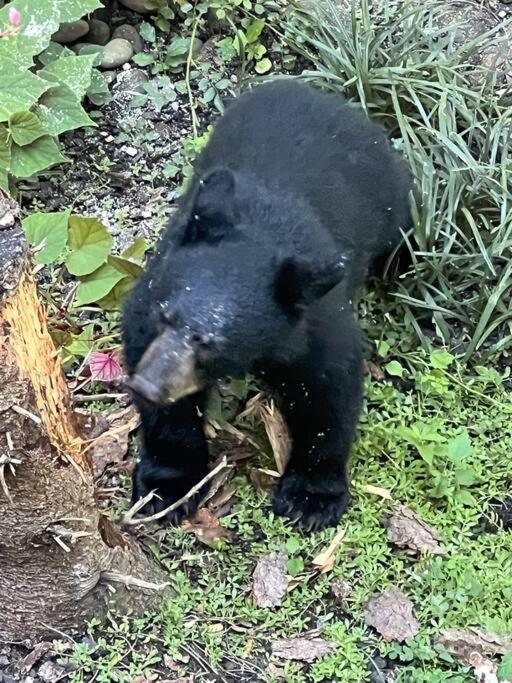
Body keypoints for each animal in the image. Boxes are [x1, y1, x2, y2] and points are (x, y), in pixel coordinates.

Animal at [123, 79, 412, 528]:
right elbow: (165, 412)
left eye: (212, 343)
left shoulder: (313, 323)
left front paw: (311, 499)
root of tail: (327, 97)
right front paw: (166, 487)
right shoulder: (151, 298)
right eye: (164, 316)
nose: (149, 384)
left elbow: (329, 391)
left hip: (390, 196)